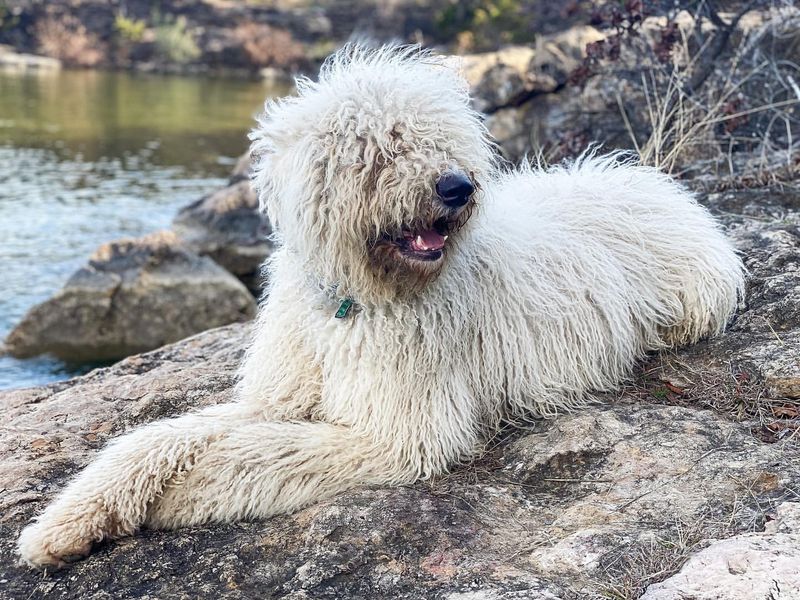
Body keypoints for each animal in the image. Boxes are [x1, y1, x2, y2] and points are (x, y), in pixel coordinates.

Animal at [17, 47, 744, 568]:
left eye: (442, 141)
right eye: (381, 147)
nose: (457, 187)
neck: (354, 300)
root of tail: (652, 180)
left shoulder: (398, 431)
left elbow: (255, 455)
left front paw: (181, 496)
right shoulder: (278, 394)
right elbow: (156, 438)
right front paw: (64, 524)